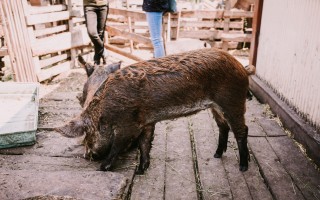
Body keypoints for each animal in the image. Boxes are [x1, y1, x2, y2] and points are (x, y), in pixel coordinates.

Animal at [56, 47, 256, 174]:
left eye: (87, 134)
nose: (88, 156)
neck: (105, 110)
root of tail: (242, 67)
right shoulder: (146, 122)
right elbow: (145, 144)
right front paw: (141, 170)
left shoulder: (128, 126)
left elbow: (117, 146)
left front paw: (102, 168)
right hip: (215, 107)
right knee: (224, 127)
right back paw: (216, 155)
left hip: (233, 101)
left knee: (242, 130)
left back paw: (243, 167)